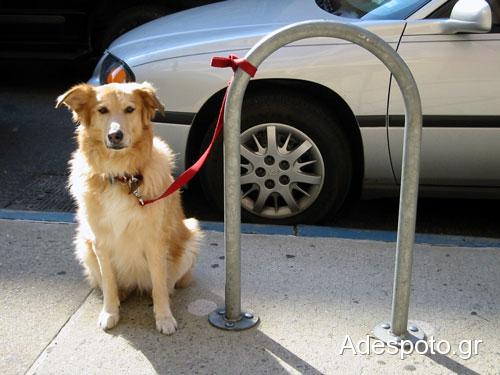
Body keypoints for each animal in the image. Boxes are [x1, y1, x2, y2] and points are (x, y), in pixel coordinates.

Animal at [56, 82, 199, 334]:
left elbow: (159, 286)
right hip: (83, 245)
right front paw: (110, 312)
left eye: (130, 109)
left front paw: (164, 317)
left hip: (190, 237)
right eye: (102, 110)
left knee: (166, 283)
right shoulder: (99, 242)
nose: (115, 135)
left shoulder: (154, 242)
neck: (121, 176)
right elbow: (109, 283)